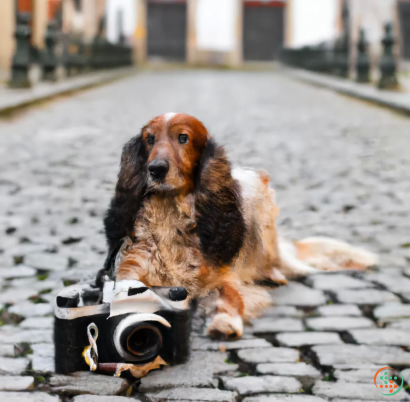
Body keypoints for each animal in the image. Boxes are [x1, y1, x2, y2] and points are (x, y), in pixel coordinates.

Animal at [102, 113, 378, 340]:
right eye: (150, 139)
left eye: (183, 138)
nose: (156, 169)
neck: (171, 212)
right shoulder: (133, 269)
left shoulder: (223, 277)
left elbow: (231, 297)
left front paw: (225, 322)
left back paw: (274, 275)